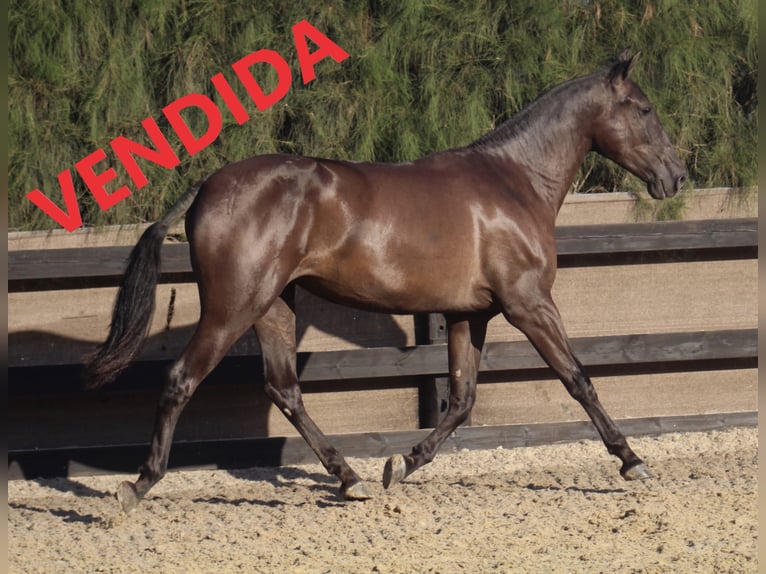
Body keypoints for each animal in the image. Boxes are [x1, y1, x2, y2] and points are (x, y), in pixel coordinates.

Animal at [84, 50, 687, 513]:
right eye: (644, 108)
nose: (676, 176)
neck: (514, 183)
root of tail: (207, 185)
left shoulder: (469, 314)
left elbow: (461, 399)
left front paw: (401, 465)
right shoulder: (529, 304)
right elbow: (578, 379)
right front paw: (633, 461)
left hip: (274, 304)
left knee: (285, 388)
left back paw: (350, 478)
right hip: (234, 306)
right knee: (182, 378)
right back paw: (137, 487)